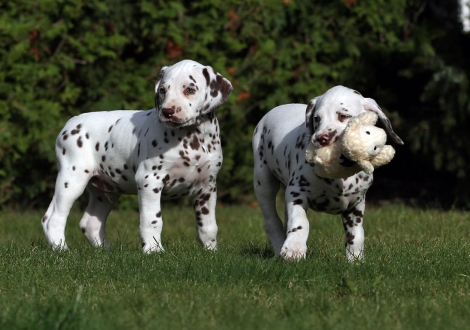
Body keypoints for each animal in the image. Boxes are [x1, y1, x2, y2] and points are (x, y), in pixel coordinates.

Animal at [41, 59, 232, 253]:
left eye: (190, 89)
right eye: (162, 90)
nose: (167, 111)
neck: (191, 138)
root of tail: (69, 124)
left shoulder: (207, 186)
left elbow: (208, 225)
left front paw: (210, 250)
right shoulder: (149, 181)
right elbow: (152, 220)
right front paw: (154, 250)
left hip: (105, 192)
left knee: (90, 223)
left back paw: (107, 251)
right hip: (71, 181)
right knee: (52, 218)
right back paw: (62, 250)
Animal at [252, 86, 402, 262]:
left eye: (343, 115)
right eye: (317, 118)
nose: (321, 138)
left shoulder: (356, 204)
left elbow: (356, 235)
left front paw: (356, 260)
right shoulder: (297, 192)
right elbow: (300, 222)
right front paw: (294, 249)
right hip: (263, 181)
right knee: (271, 220)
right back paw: (279, 245)